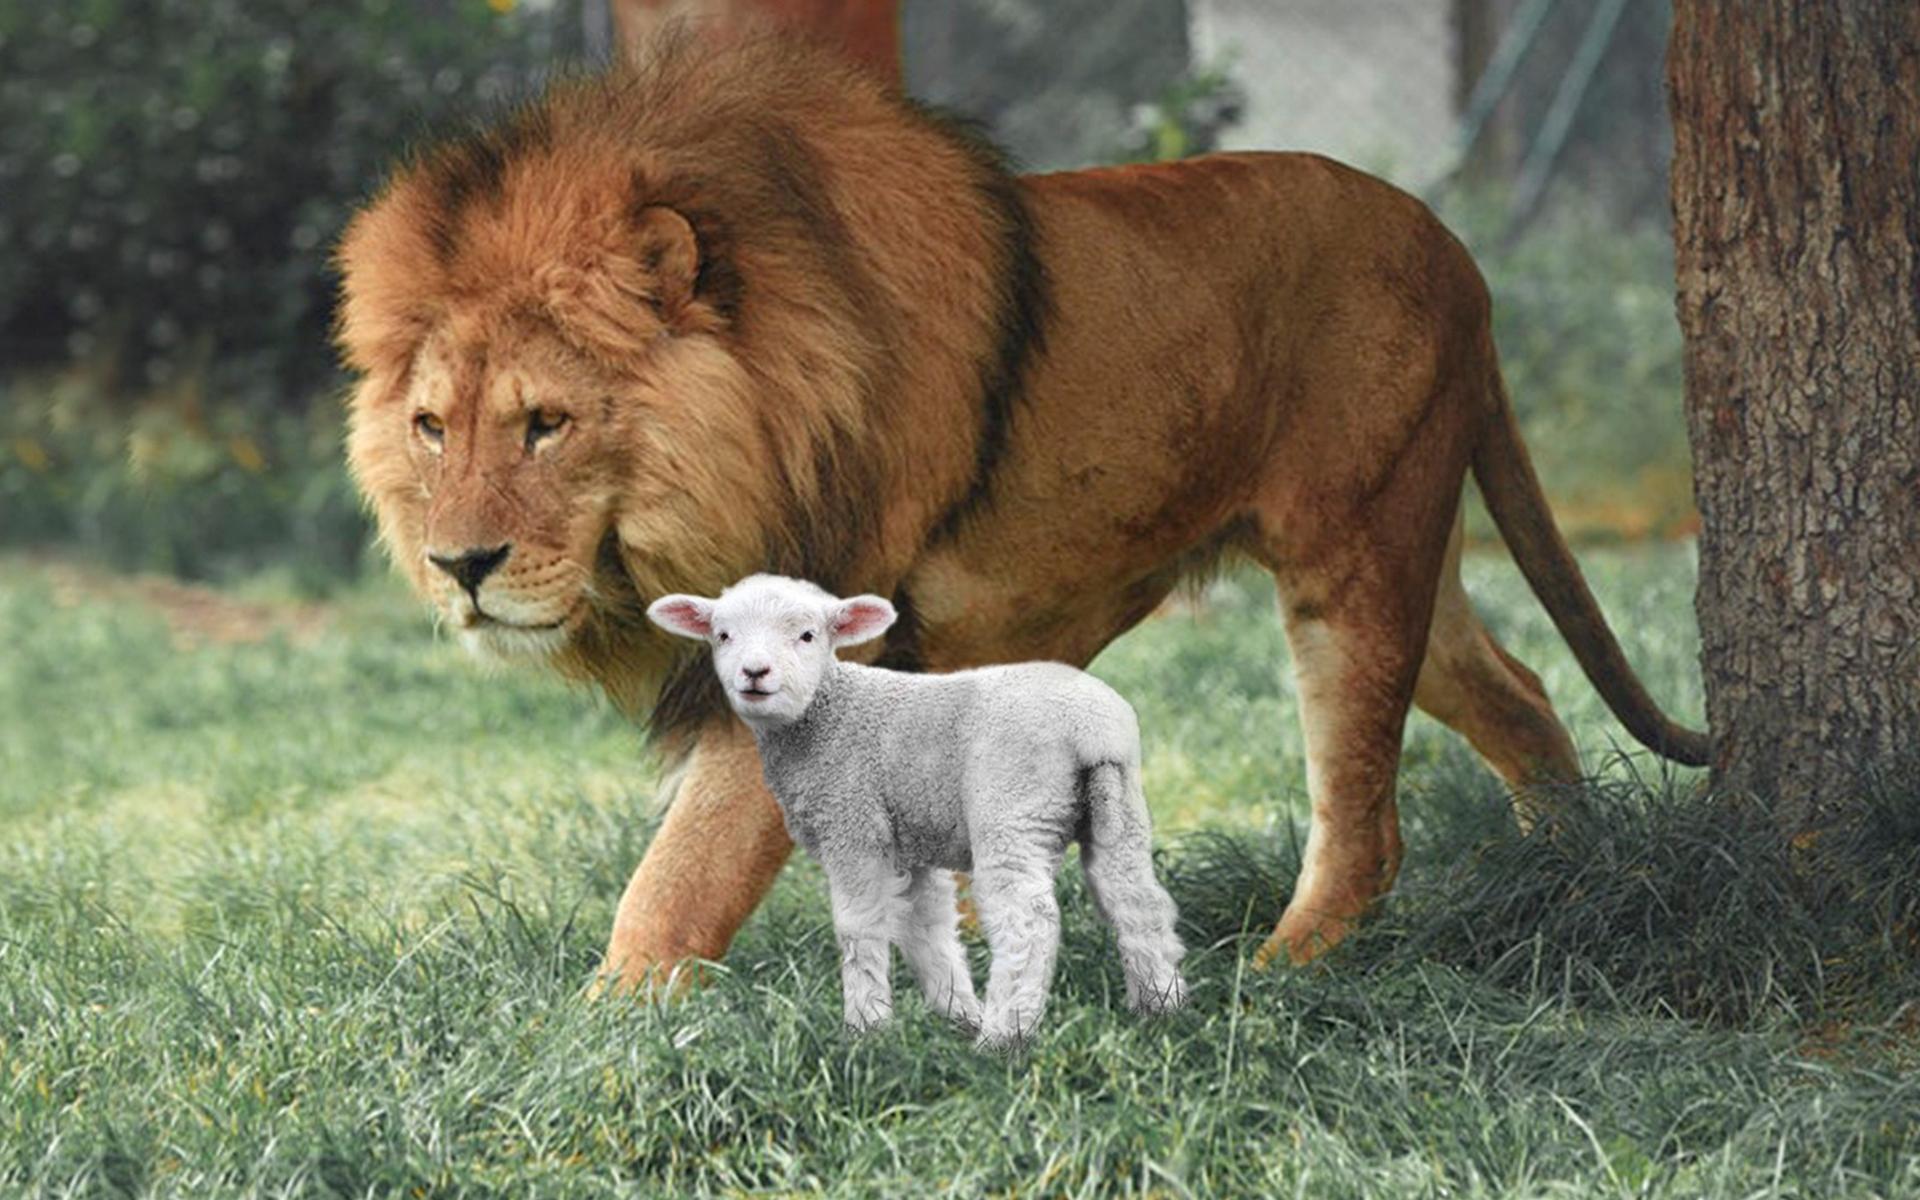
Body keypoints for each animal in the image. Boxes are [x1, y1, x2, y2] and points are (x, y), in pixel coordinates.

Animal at [335, 32, 1707, 986]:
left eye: (546, 423)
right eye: (432, 427)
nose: (459, 566)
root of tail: (1454, 249)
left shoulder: (810, 650)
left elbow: (677, 882)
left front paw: (600, 1041)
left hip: (1355, 553)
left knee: (1366, 821)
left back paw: (1274, 978)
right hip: (1404, 541)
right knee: (1517, 690)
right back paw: (1573, 872)